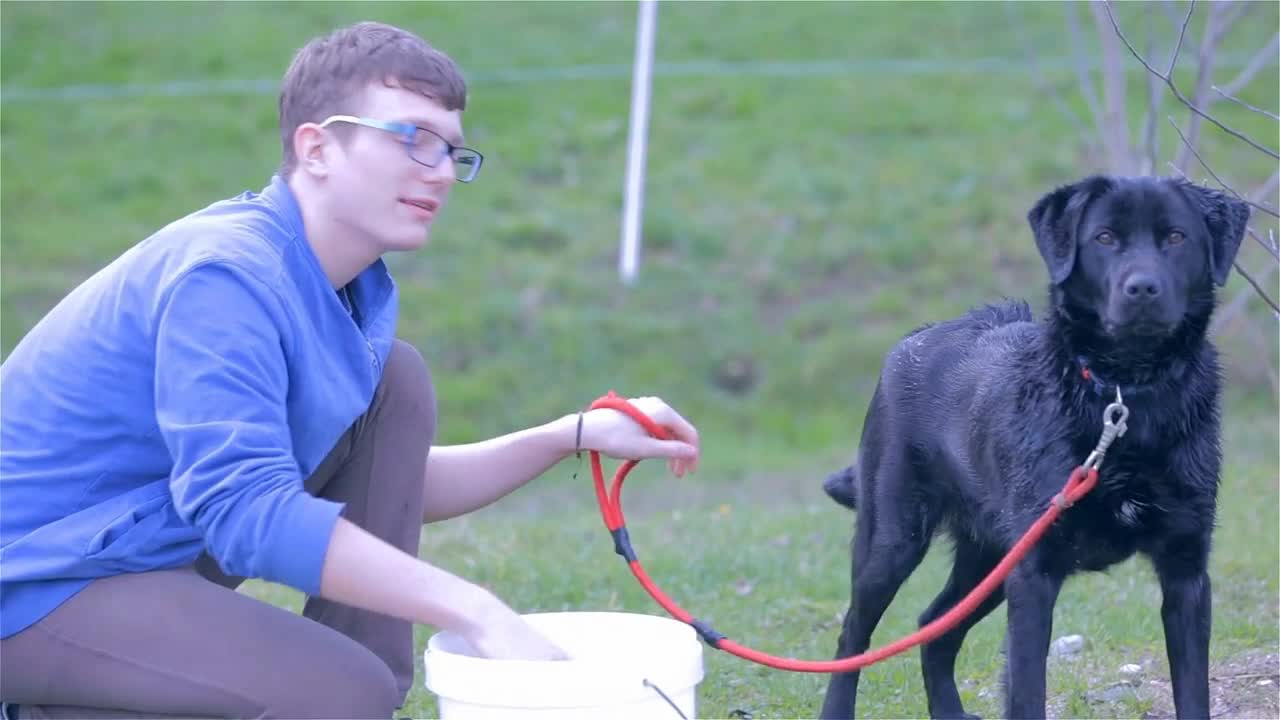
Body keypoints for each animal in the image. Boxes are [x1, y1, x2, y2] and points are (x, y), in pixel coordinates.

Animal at [819, 175, 1249, 717]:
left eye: (1176, 237)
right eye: (1104, 238)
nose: (1142, 289)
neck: (1125, 395)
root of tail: (910, 342)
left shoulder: (1187, 573)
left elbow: (1193, 693)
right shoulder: (1034, 575)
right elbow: (1026, 694)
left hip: (989, 560)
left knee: (933, 626)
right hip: (893, 542)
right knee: (853, 636)